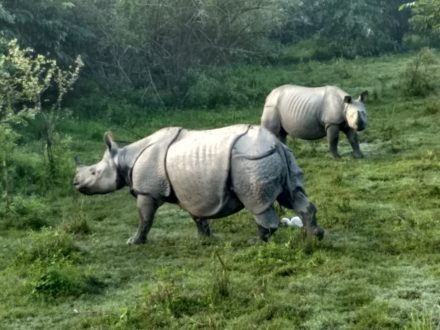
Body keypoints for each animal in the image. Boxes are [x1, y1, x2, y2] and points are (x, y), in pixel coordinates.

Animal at [74, 125, 324, 244]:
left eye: (94, 172)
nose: (75, 183)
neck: (124, 158)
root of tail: (276, 144)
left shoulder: (147, 191)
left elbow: (145, 219)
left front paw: (134, 242)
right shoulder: (193, 194)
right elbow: (198, 216)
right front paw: (206, 239)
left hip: (251, 161)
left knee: (258, 204)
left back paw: (256, 242)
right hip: (280, 157)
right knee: (292, 195)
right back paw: (315, 236)